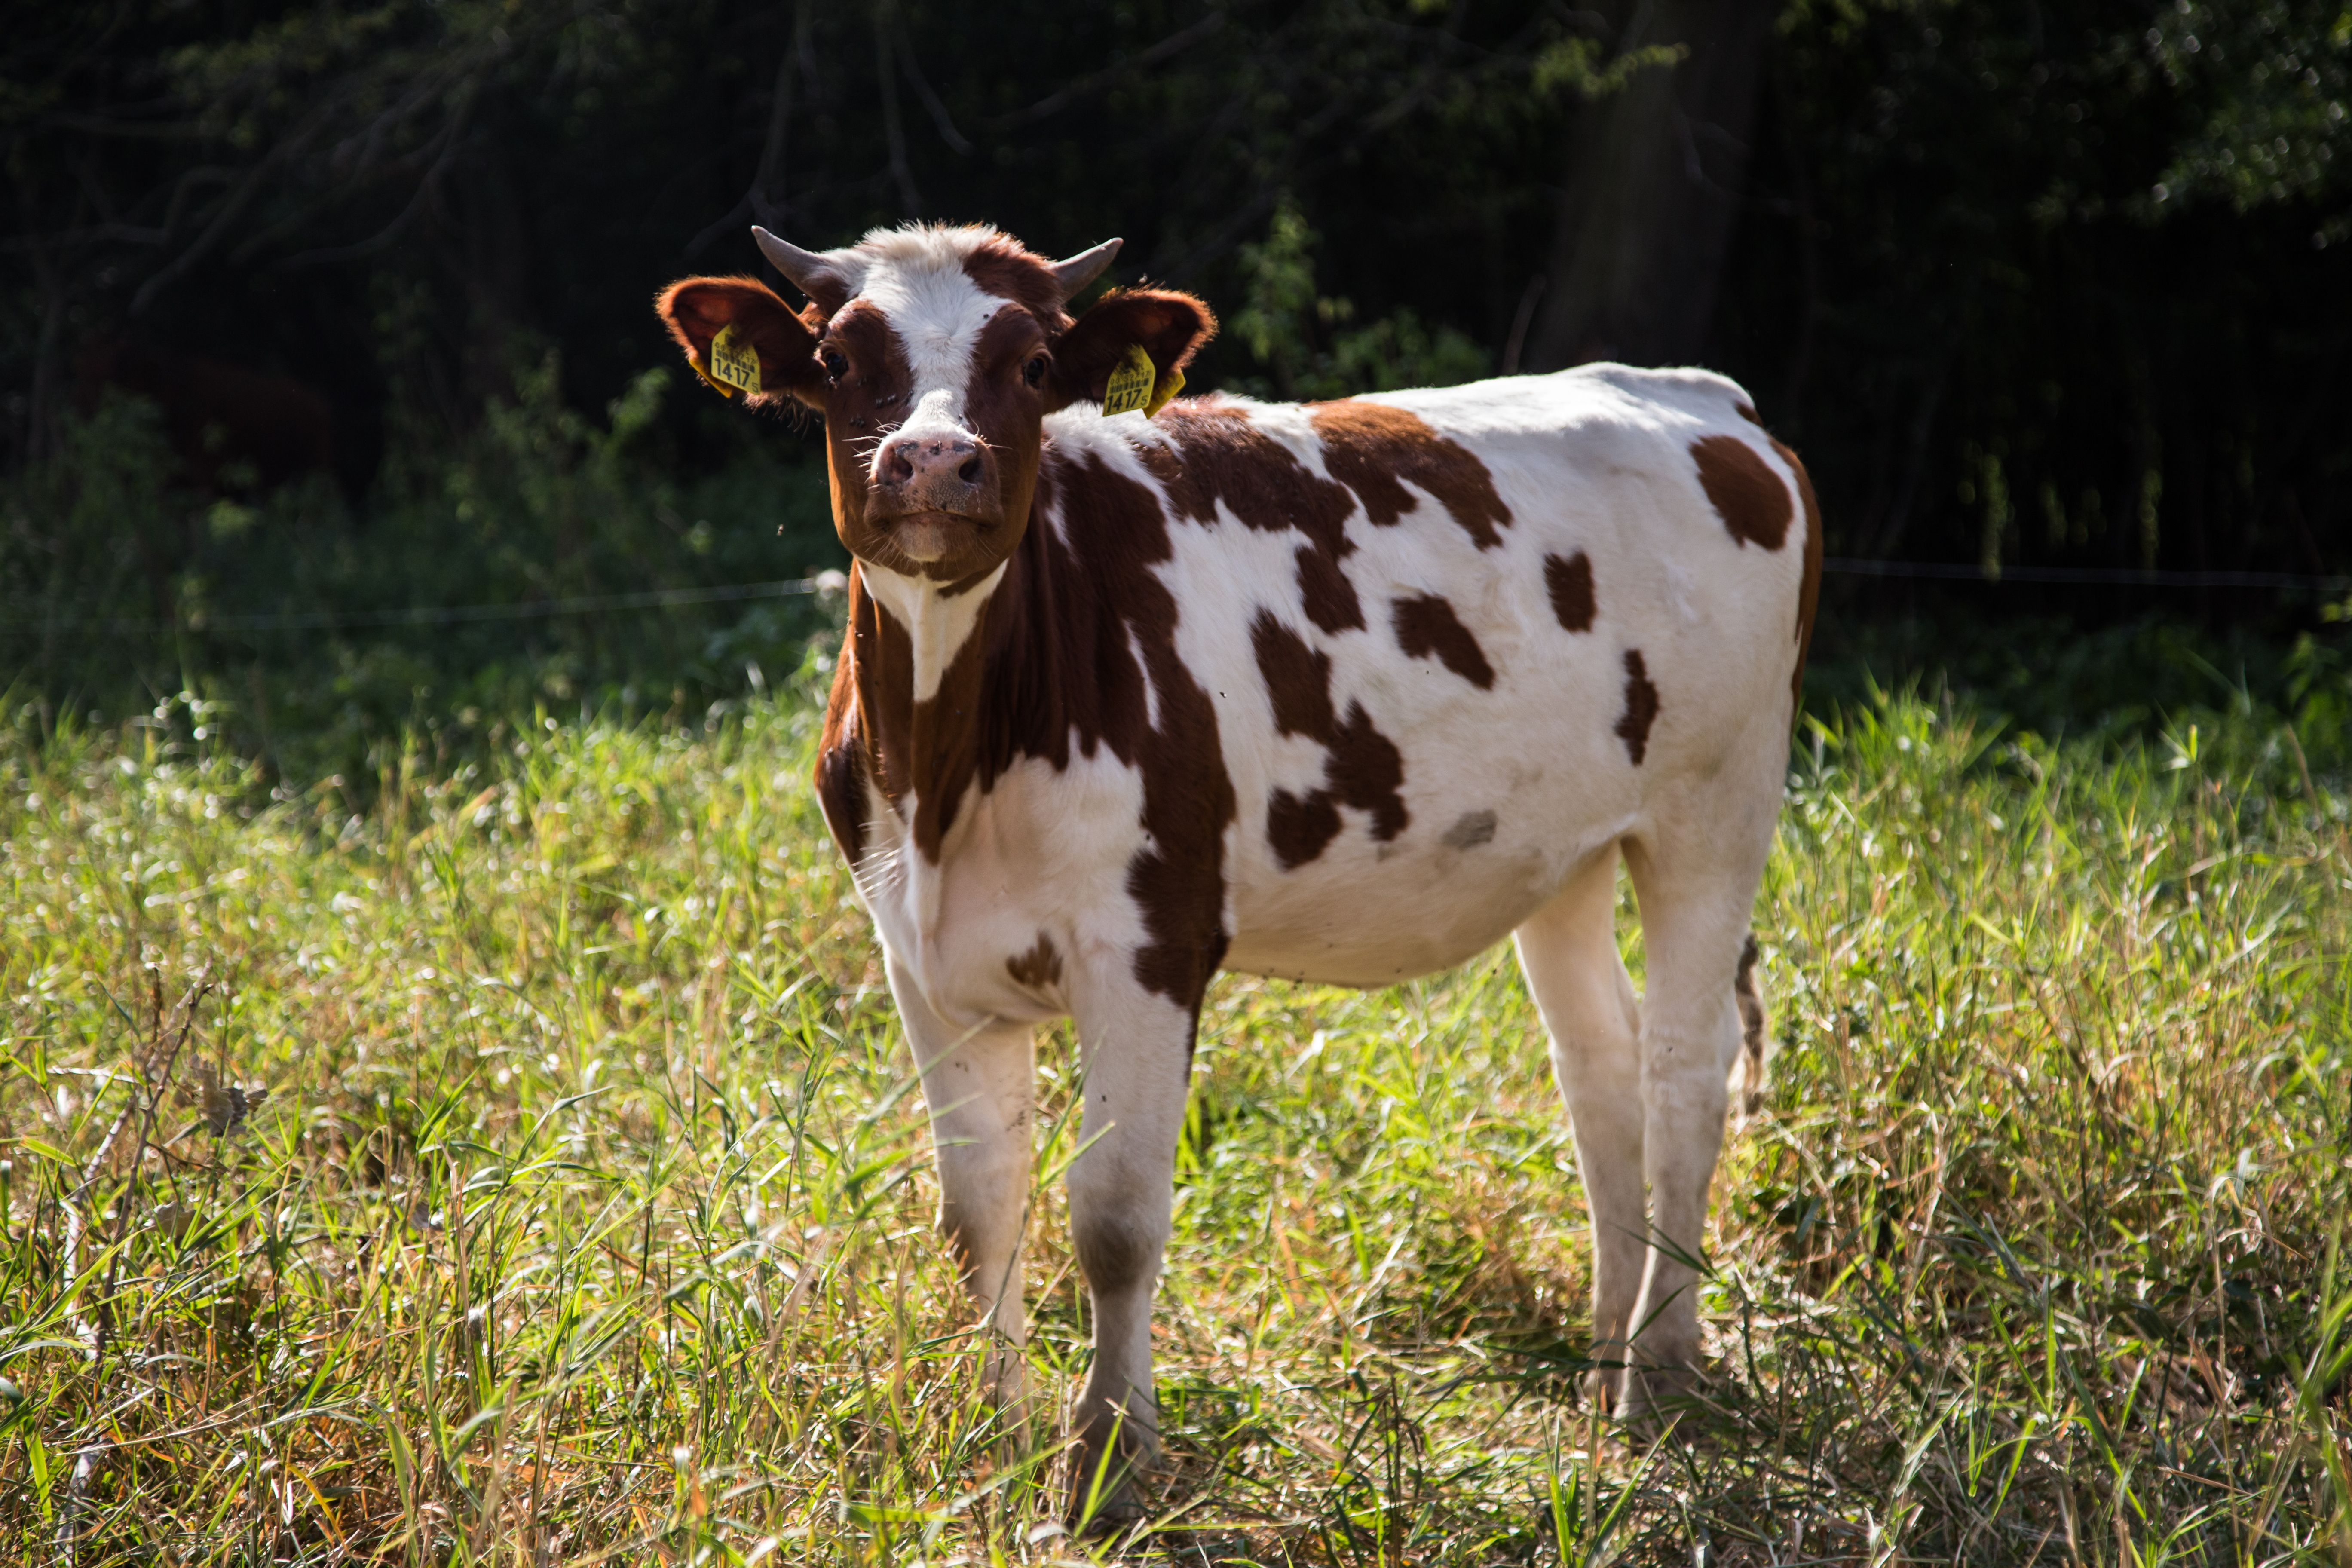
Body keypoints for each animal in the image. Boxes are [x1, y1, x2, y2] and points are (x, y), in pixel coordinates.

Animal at [654, 221, 1825, 1504]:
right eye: (838, 359)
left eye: (1031, 363)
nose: (931, 460)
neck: (946, 772)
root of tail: (1702, 400)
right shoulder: (919, 953)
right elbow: (979, 1210)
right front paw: (993, 1432)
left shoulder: (1152, 944)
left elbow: (1114, 1218)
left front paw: (1110, 1460)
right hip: (1563, 852)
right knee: (1600, 1067)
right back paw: (1607, 1354)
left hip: (1717, 805)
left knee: (1683, 1068)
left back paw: (1660, 1373)